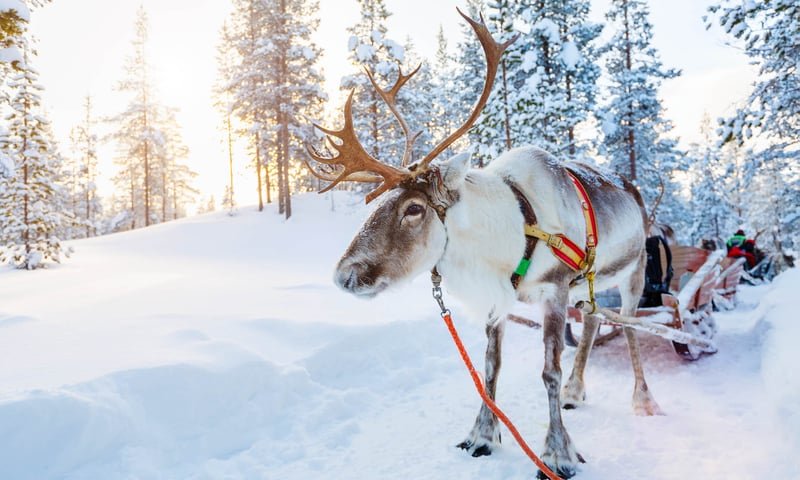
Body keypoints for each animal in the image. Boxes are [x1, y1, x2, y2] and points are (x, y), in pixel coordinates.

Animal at [306, 9, 663, 479]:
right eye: (381, 202)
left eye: (414, 208)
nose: (343, 275)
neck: (514, 229)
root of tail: (633, 190)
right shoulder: (501, 297)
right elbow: (491, 366)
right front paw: (481, 436)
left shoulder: (555, 289)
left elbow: (548, 370)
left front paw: (557, 454)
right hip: (590, 283)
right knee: (591, 321)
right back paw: (576, 390)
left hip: (633, 270)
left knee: (630, 326)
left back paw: (643, 398)